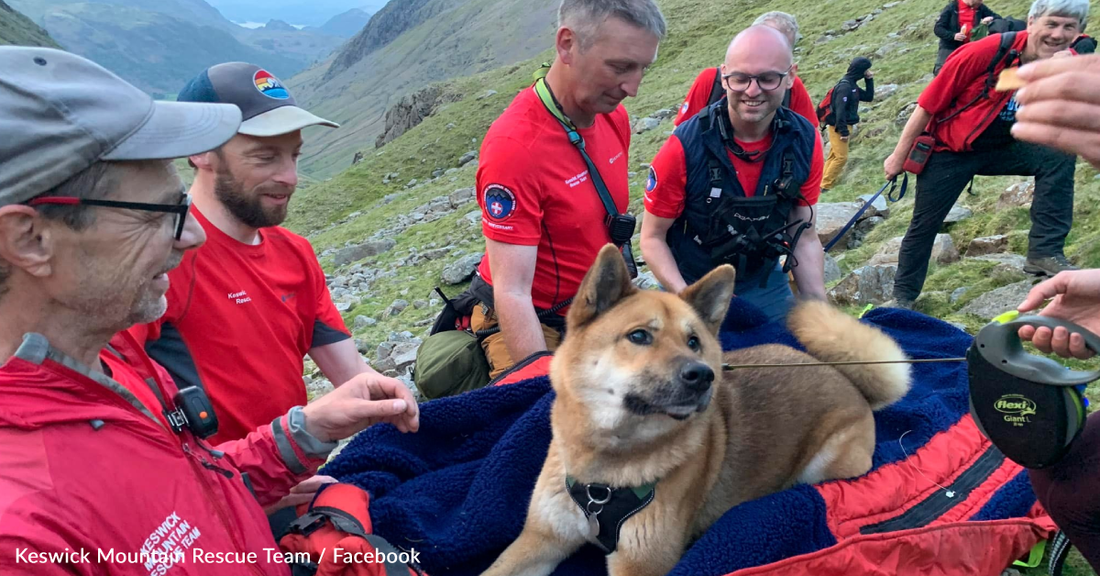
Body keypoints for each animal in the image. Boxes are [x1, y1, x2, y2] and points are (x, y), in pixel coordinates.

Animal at [481, 244, 910, 576]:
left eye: (693, 342)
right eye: (639, 336)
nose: (703, 376)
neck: (604, 473)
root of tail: (845, 378)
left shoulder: (640, 563)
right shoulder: (541, 538)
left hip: (828, 465)